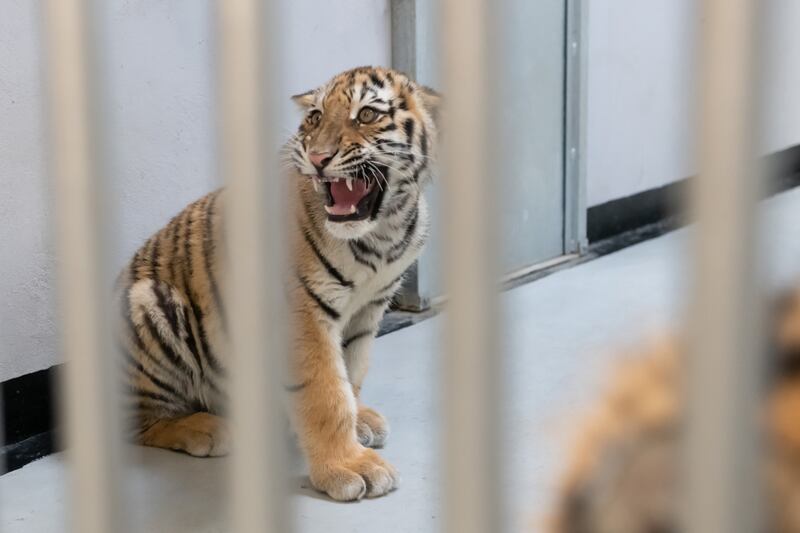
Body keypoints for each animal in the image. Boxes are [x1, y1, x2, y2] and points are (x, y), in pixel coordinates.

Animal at [115, 65, 440, 498]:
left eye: (367, 115)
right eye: (315, 118)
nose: (319, 159)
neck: (381, 234)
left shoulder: (370, 309)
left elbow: (352, 372)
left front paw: (358, 422)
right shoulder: (302, 312)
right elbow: (325, 391)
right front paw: (350, 466)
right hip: (149, 301)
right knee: (139, 421)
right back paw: (209, 430)